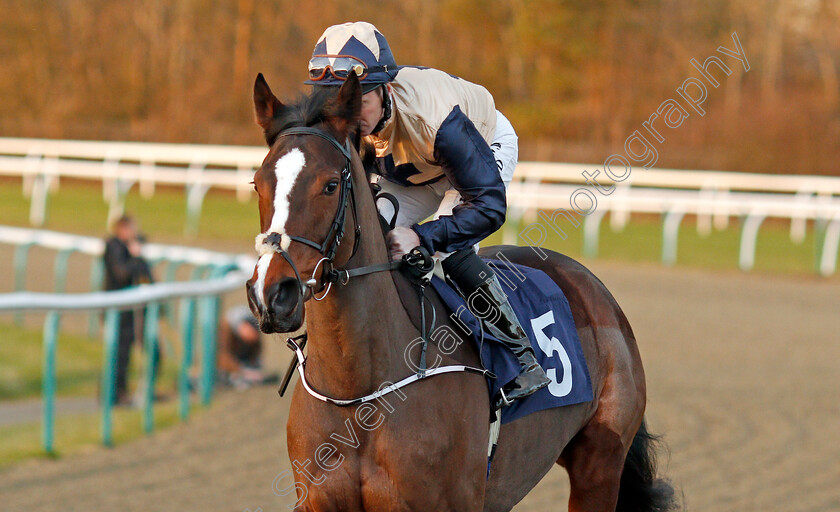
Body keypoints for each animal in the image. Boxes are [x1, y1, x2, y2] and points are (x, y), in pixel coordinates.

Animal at [244, 73, 676, 512]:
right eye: (257, 184)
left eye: (330, 185)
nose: (272, 295)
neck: (360, 392)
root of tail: (594, 287)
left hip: (599, 465)